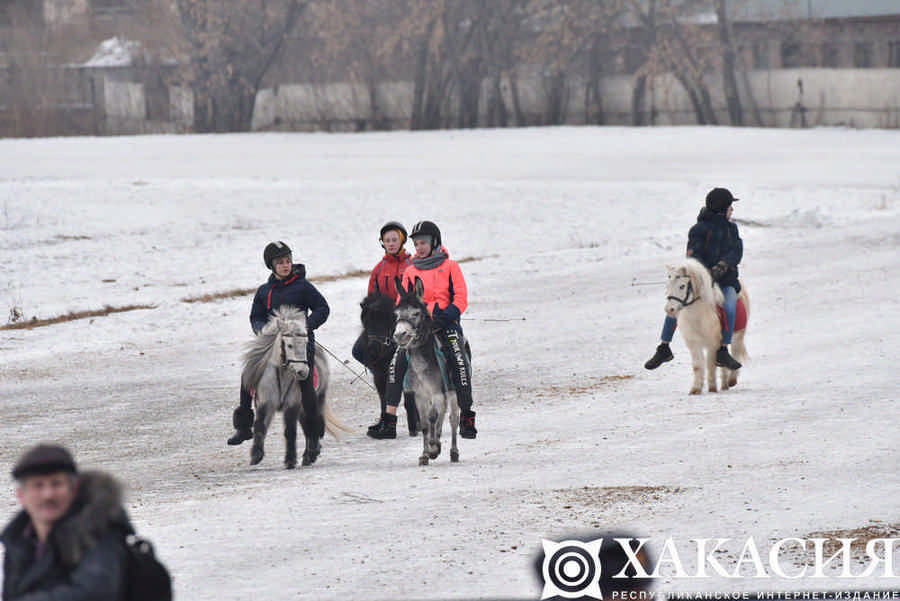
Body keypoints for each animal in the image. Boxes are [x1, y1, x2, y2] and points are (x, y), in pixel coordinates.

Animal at [664, 258, 748, 394]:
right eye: (668, 285)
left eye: (682, 286)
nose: (669, 309)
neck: (697, 316)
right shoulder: (694, 343)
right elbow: (697, 366)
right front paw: (695, 389)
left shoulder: (712, 344)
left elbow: (710, 365)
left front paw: (712, 388)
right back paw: (724, 385)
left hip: (738, 336)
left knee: (735, 353)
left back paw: (731, 380)